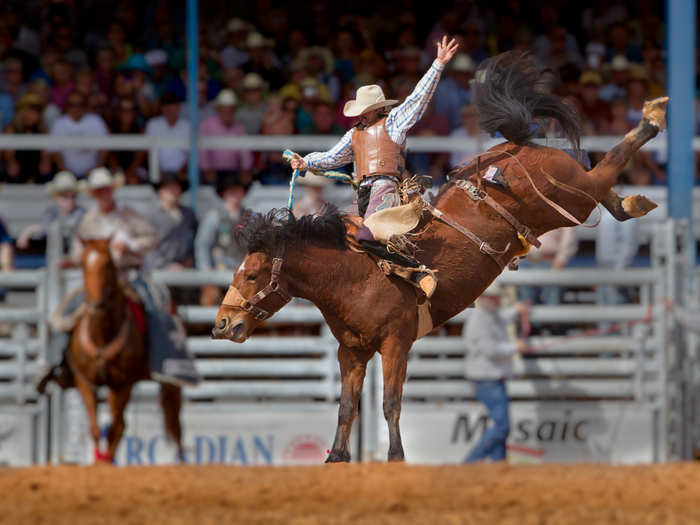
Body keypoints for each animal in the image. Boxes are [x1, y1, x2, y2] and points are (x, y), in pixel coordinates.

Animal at [69, 239, 180, 460]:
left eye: (108, 264)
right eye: (83, 264)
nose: (96, 304)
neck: (103, 336)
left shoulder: (121, 384)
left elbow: (115, 428)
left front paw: (105, 460)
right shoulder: (86, 382)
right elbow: (95, 428)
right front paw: (98, 459)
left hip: (170, 382)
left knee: (174, 424)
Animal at [212, 53, 668, 460]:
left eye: (251, 275)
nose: (222, 325)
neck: (351, 275)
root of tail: (516, 146)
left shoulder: (396, 342)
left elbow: (390, 405)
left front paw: (395, 459)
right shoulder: (351, 351)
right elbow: (346, 409)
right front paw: (336, 459)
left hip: (571, 194)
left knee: (607, 167)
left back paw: (651, 118)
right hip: (571, 201)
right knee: (605, 187)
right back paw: (634, 200)